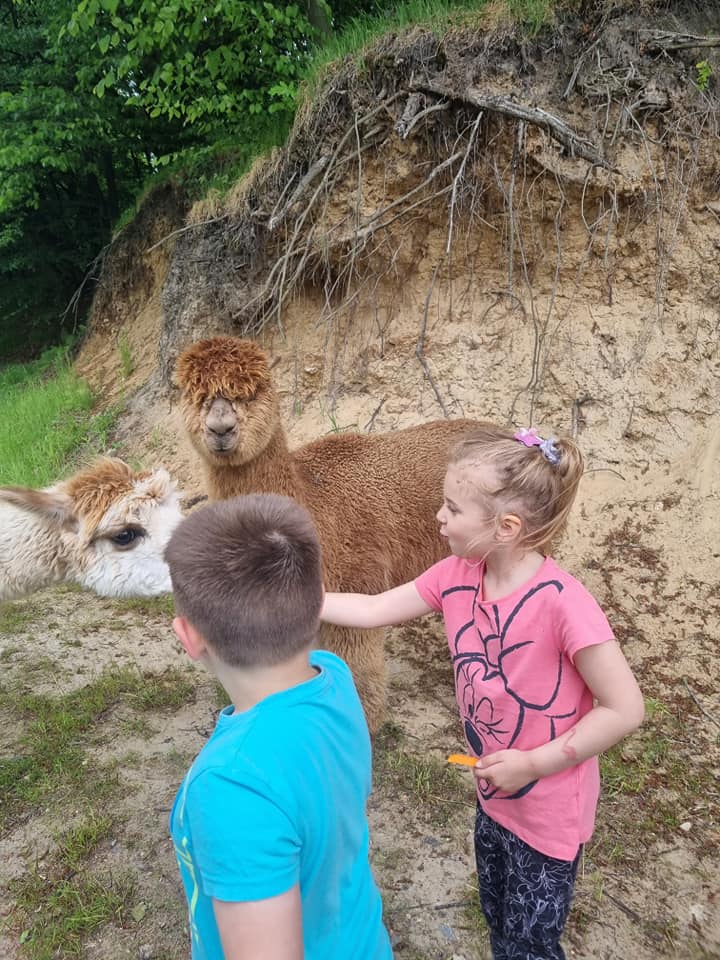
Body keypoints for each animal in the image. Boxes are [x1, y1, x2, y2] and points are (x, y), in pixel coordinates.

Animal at [175, 336, 484, 731]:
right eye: (195, 394)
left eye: (250, 392)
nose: (220, 429)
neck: (313, 501)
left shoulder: (359, 582)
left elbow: (358, 671)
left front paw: (363, 725)